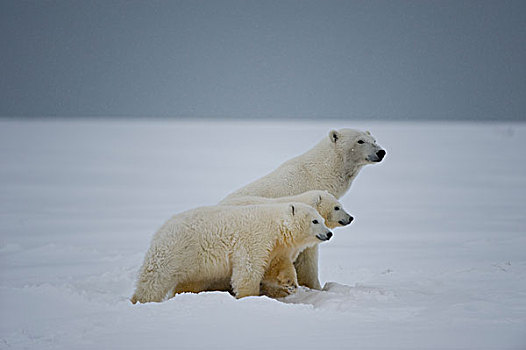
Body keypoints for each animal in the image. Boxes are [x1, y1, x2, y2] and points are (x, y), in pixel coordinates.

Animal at [221, 129, 386, 290]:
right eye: (360, 141)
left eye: (374, 140)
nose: (381, 152)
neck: (319, 173)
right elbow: (308, 255)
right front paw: (315, 286)